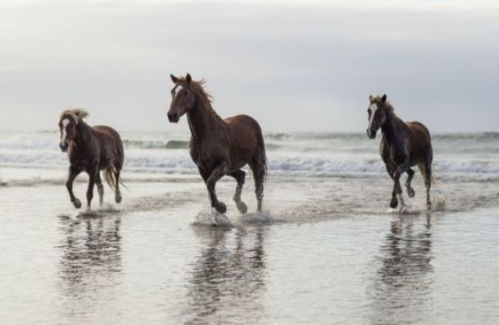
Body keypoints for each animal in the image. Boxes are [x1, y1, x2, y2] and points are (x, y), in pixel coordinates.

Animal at [168, 73, 268, 213]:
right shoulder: (203, 168)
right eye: (172, 91)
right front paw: (220, 208)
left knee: (258, 188)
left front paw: (221, 207)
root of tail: (251, 120)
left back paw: (257, 213)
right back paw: (241, 206)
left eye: (185, 92)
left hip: (255, 161)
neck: (205, 135)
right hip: (232, 166)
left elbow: (210, 183)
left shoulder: (223, 164)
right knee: (241, 175)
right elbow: (209, 186)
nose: (171, 115)